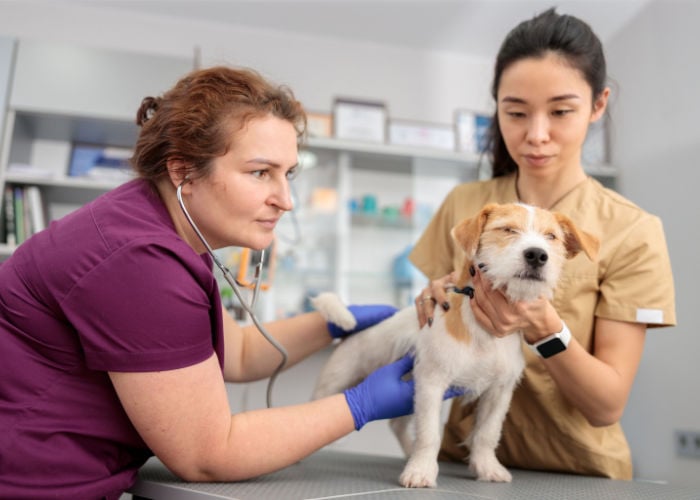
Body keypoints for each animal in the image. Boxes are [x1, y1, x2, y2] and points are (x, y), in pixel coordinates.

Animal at [314, 201, 600, 486]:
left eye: (551, 237)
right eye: (508, 229)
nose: (538, 255)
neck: (485, 332)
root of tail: (351, 333)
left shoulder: (499, 392)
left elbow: (487, 433)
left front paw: (487, 468)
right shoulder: (431, 384)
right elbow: (429, 434)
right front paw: (421, 471)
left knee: (397, 424)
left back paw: (408, 451)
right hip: (336, 383)